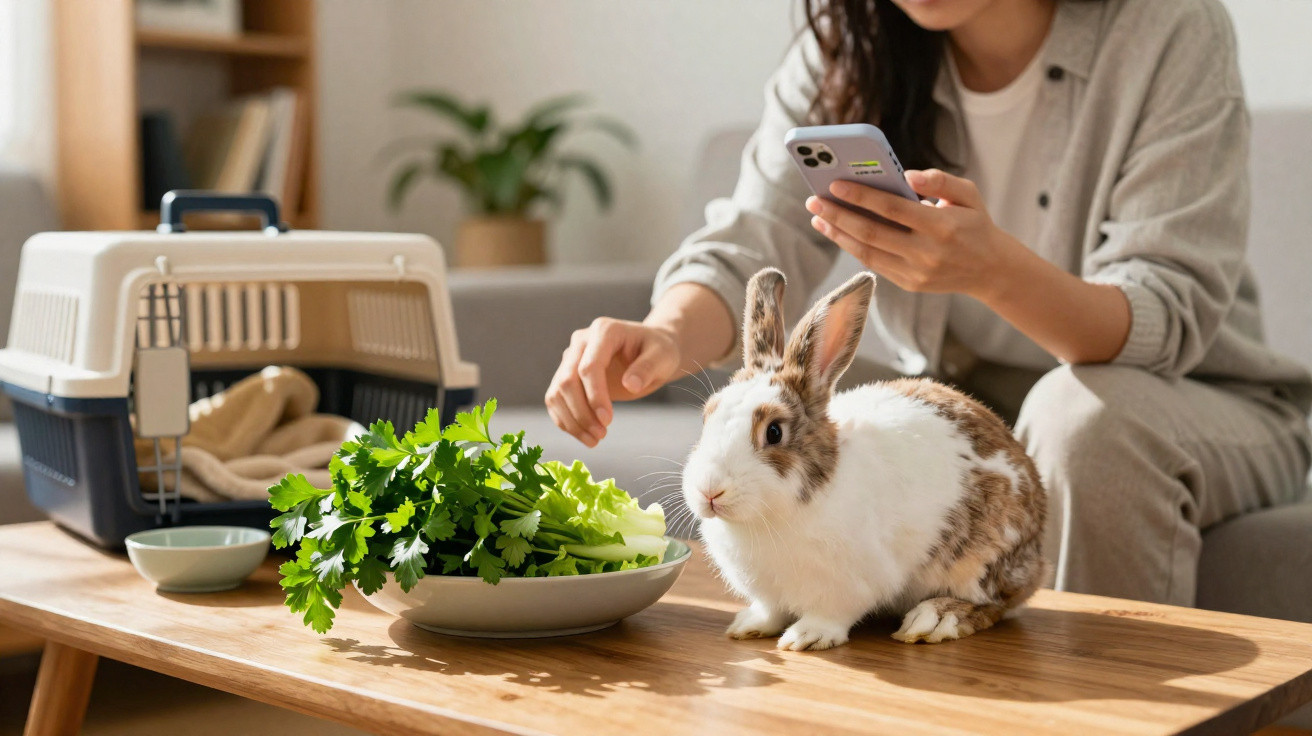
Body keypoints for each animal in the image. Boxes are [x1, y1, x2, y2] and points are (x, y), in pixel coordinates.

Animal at [682, 267, 1048, 651]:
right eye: (707, 418)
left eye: (774, 432)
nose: (710, 491)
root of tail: (1038, 554)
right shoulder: (770, 594)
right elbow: (770, 610)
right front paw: (748, 625)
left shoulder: (852, 583)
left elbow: (831, 614)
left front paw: (805, 637)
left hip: (982, 560)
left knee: (995, 604)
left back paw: (935, 619)